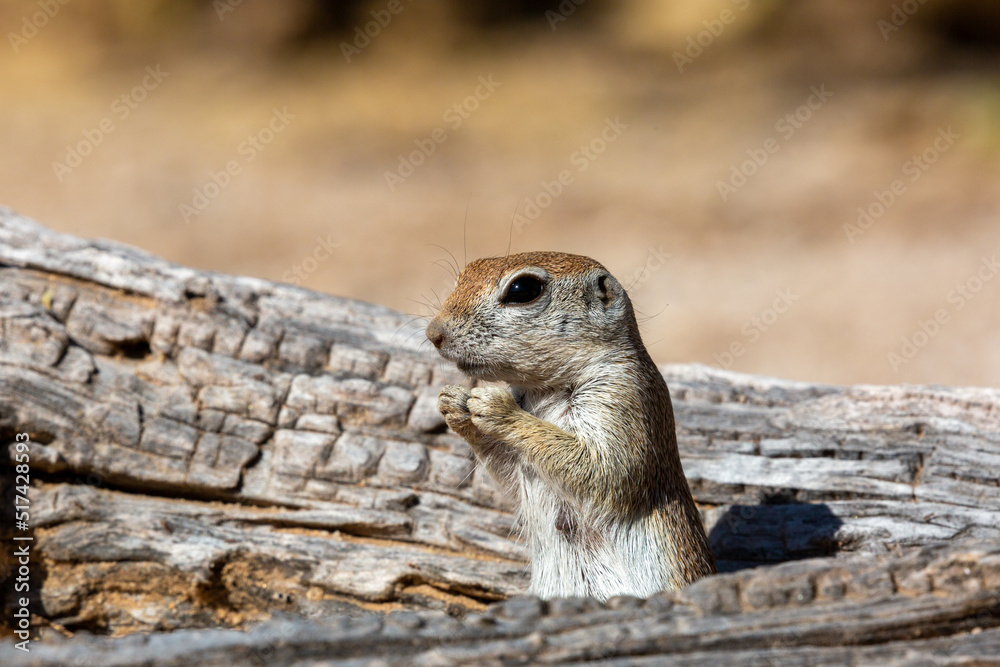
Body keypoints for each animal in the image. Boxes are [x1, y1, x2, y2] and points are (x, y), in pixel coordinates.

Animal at [426, 251, 716, 600]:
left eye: (523, 289)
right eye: (466, 273)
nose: (433, 333)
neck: (544, 390)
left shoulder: (622, 398)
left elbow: (604, 470)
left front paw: (497, 407)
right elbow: (508, 474)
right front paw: (452, 402)